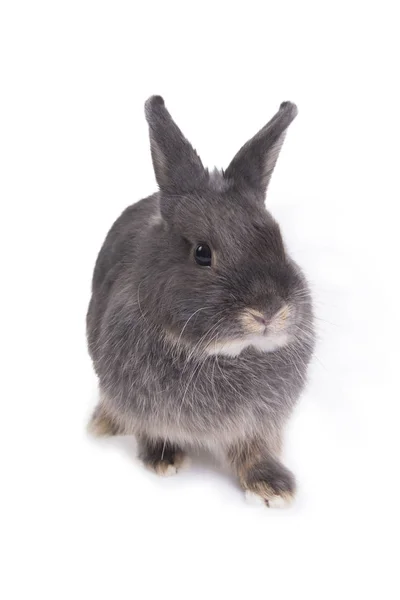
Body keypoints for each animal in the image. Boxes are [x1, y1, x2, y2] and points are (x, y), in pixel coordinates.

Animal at [87, 96, 316, 508]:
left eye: (279, 241)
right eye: (202, 253)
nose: (268, 312)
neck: (224, 355)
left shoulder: (259, 422)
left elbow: (255, 448)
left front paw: (272, 487)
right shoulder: (142, 405)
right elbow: (151, 430)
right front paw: (163, 459)